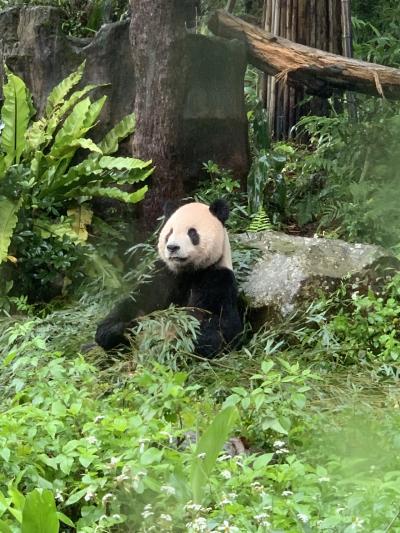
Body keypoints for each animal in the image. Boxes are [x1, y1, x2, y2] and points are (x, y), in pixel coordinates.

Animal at [94, 200, 244, 358]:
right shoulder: (162, 274)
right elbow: (135, 303)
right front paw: (114, 330)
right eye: (169, 233)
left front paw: (181, 341)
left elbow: (222, 325)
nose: (172, 247)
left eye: (192, 233)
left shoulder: (217, 277)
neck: (187, 271)